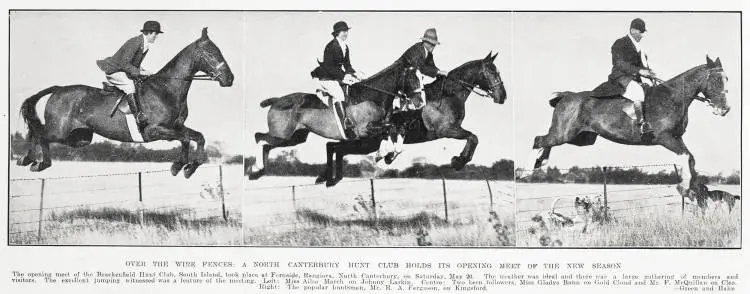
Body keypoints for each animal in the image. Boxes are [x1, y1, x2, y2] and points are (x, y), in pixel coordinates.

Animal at [17, 28, 235, 178]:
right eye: (211, 53)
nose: (230, 79)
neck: (166, 89)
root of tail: (58, 89)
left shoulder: (177, 126)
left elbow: (197, 137)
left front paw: (187, 167)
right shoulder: (155, 131)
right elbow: (185, 139)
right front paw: (181, 166)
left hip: (78, 137)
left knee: (38, 132)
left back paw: (27, 159)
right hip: (60, 131)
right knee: (40, 133)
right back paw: (37, 163)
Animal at [314, 51, 508, 185]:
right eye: (492, 72)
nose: (502, 97)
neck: (449, 95)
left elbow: (473, 138)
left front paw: (459, 160)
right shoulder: (446, 130)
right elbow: (473, 137)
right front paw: (458, 161)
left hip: (365, 144)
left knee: (336, 147)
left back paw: (324, 177)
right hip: (366, 142)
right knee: (336, 148)